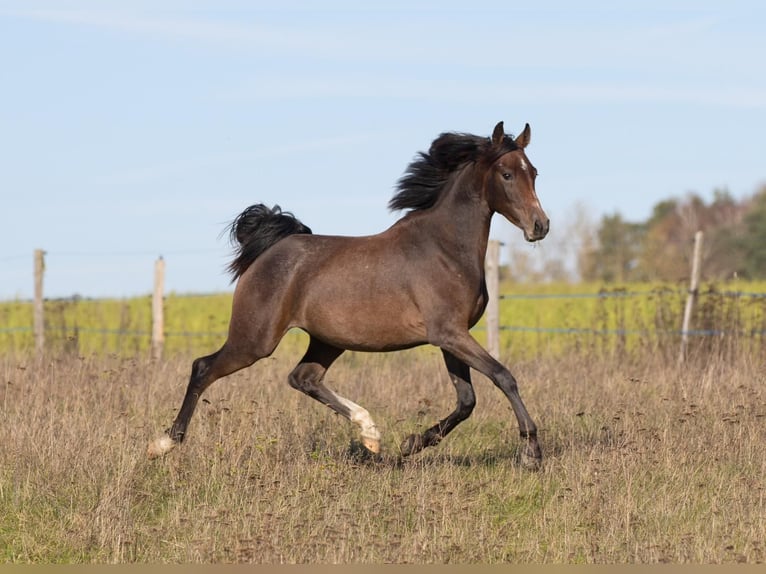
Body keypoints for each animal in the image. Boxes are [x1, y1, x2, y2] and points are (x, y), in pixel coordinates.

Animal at [146, 120, 552, 468]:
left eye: (534, 172)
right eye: (506, 174)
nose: (540, 226)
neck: (444, 247)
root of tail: (268, 252)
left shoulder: (451, 336)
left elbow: (467, 400)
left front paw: (411, 444)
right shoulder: (449, 333)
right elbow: (503, 376)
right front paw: (531, 451)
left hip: (327, 339)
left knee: (304, 377)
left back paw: (371, 434)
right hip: (255, 339)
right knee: (204, 368)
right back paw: (164, 443)